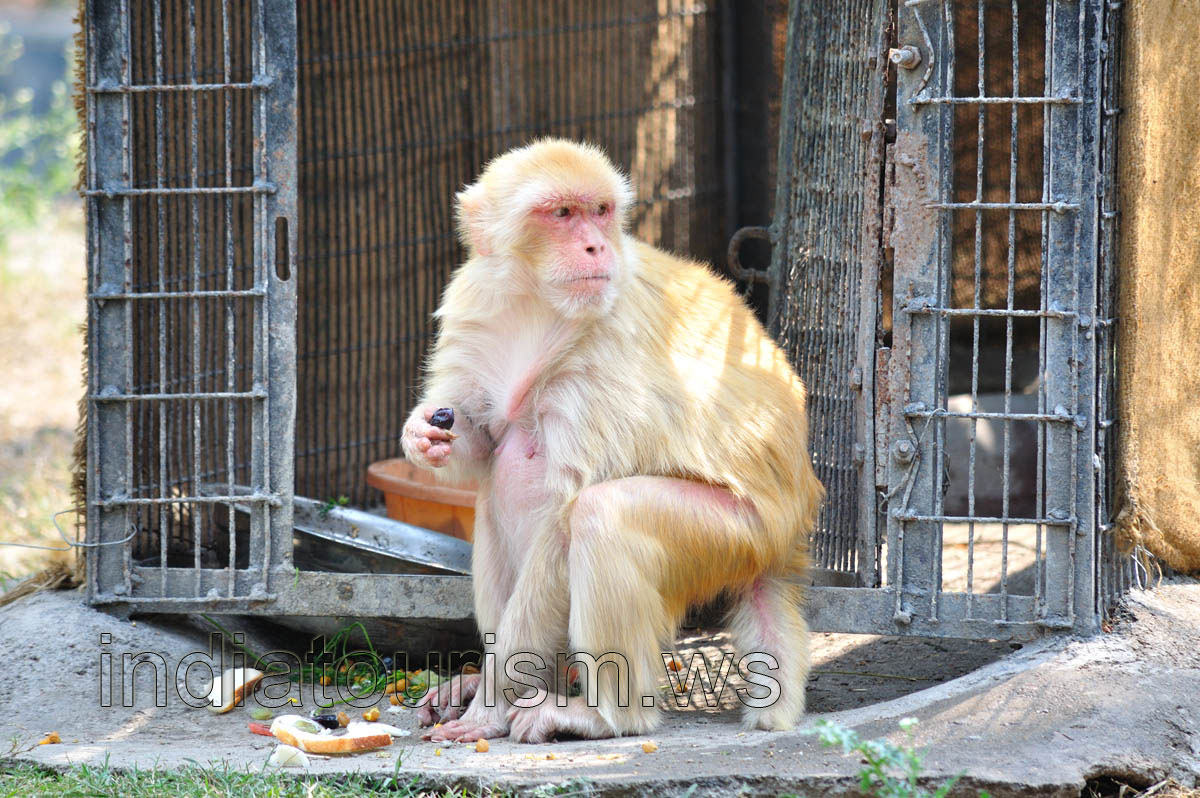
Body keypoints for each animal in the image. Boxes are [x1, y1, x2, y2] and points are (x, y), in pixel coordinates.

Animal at [400, 139, 823, 743]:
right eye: (562, 214)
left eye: (599, 211)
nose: (596, 245)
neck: (538, 305)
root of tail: (792, 526)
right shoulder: (475, 304)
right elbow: (480, 442)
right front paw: (422, 435)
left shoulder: (602, 356)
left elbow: (561, 516)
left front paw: (489, 706)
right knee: (504, 473)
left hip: (738, 535)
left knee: (600, 513)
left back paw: (603, 716)